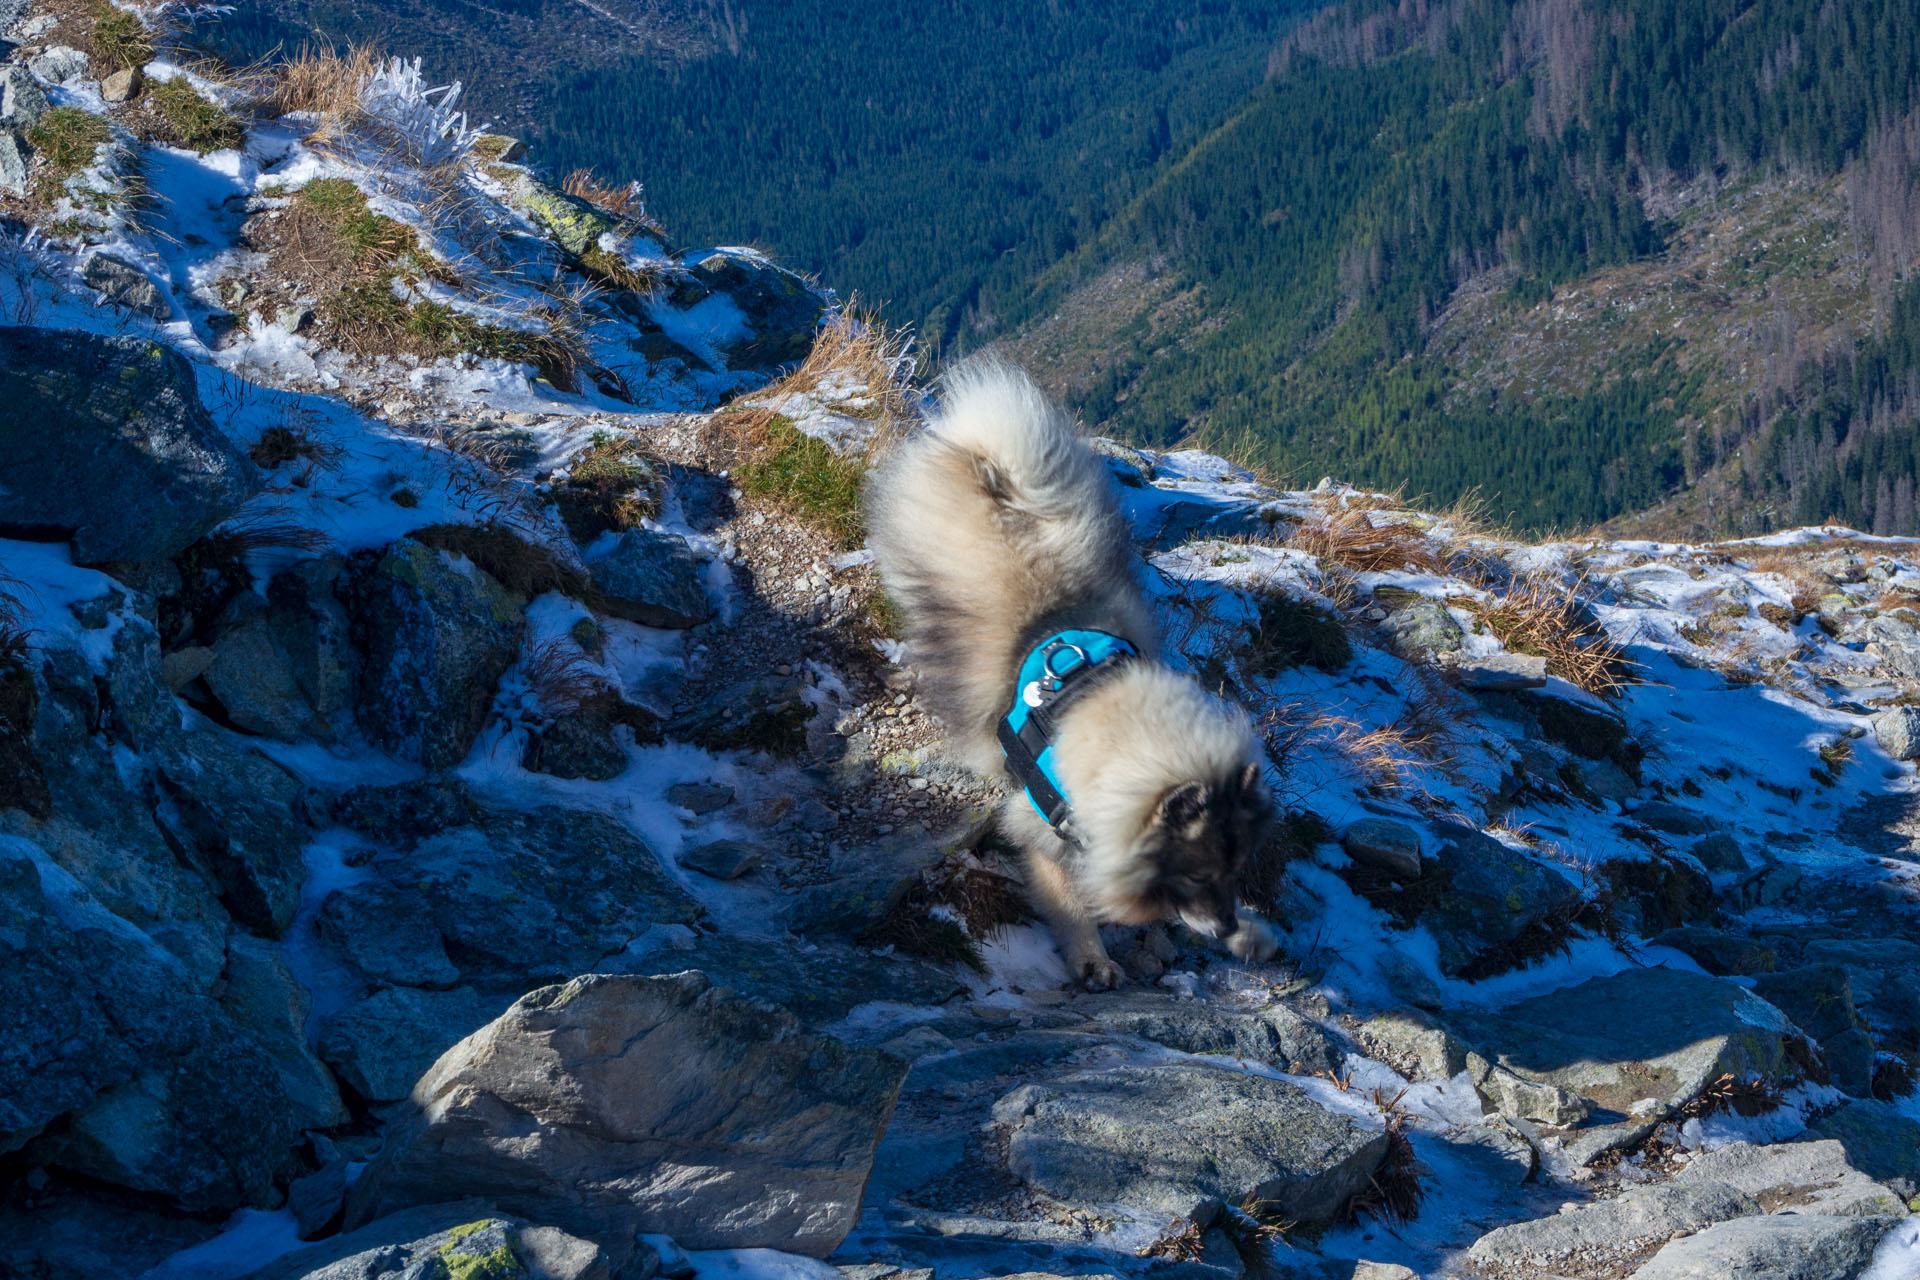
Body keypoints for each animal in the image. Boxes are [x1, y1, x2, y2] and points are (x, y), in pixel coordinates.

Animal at [867, 360, 1274, 990]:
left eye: (1235, 872)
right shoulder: (1041, 830)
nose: (1227, 924)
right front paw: (1093, 959)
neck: (1093, 706)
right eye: (1196, 875)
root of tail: (995, 471)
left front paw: (1250, 933)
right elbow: (1071, 900)